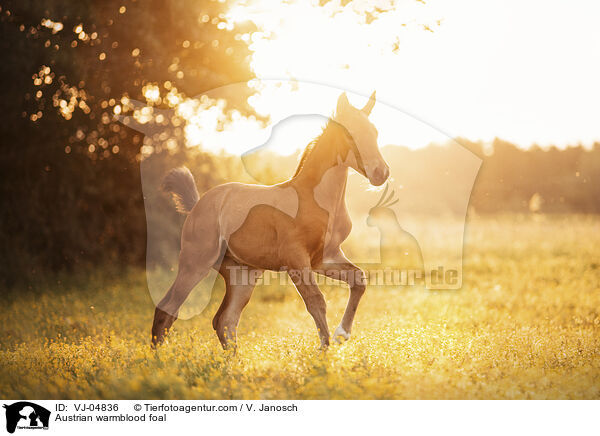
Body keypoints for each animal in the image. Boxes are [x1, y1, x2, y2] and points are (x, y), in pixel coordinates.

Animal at [152, 90, 392, 350]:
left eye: (375, 132)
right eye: (350, 133)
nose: (381, 173)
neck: (316, 199)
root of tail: (198, 204)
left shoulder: (323, 258)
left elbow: (358, 280)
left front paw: (341, 334)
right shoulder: (296, 260)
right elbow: (316, 301)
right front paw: (324, 351)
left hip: (243, 274)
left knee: (225, 321)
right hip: (195, 263)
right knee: (167, 309)